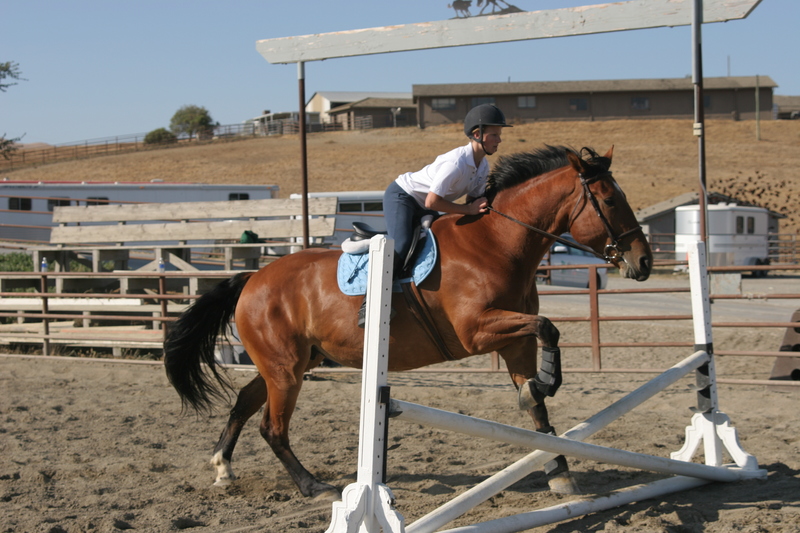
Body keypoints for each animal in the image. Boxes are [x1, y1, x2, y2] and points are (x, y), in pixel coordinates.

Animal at [164, 145, 653, 501]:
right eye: (610, 200)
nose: (644, 262)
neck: (498, 242)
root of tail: (252, 279)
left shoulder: (514, 342)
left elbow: (537, 402)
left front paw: (559, 470)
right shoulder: (477, 332)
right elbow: (548, 327)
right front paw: (548, 383)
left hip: (295, 362)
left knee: (245, 402)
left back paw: (223, 468)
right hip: (285, 368)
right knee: (272, 426)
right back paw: (313, 486)